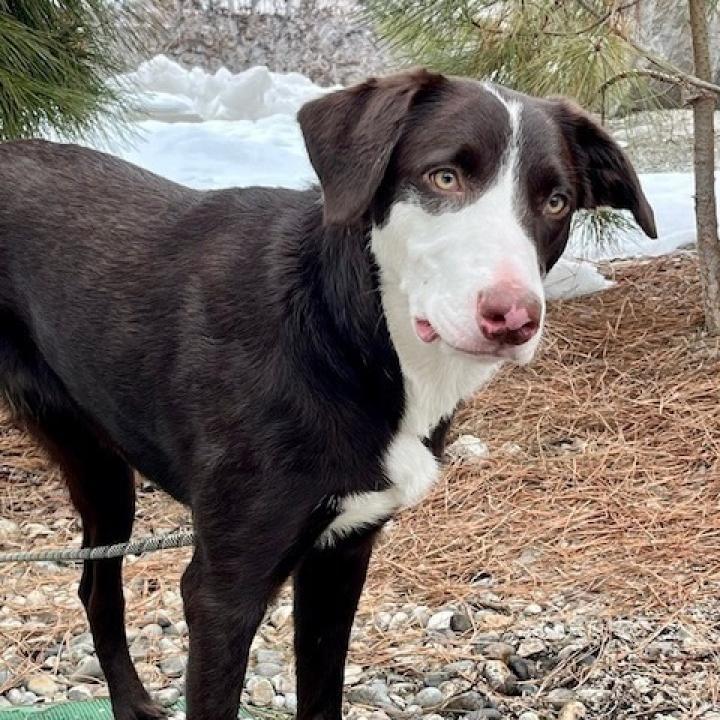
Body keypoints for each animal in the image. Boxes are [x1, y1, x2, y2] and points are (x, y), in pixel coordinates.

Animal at [0, 69, 652, 720]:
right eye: (444, 176)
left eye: (556, 201)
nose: (513, 318)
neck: (345, 331)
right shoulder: (223, 590)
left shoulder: (340, 559)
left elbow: (321, 694)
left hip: (101, 466)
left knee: (94, 585)